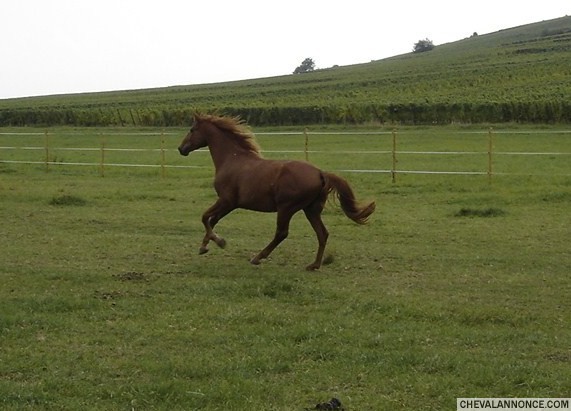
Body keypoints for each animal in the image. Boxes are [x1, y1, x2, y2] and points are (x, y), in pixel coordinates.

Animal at [179, 114, 376, 272]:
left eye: (192, 129)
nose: (181, 149)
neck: (232, 159)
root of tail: (321, 173)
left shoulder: (227, 201)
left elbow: (205, 217)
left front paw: (218, 242)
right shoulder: (228, 204)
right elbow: (212, 220)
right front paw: (204, 246)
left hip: (286, 208)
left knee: (282, 233)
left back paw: (257, 257)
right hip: (311, 210)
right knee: (323, 233)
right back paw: (314, 265)